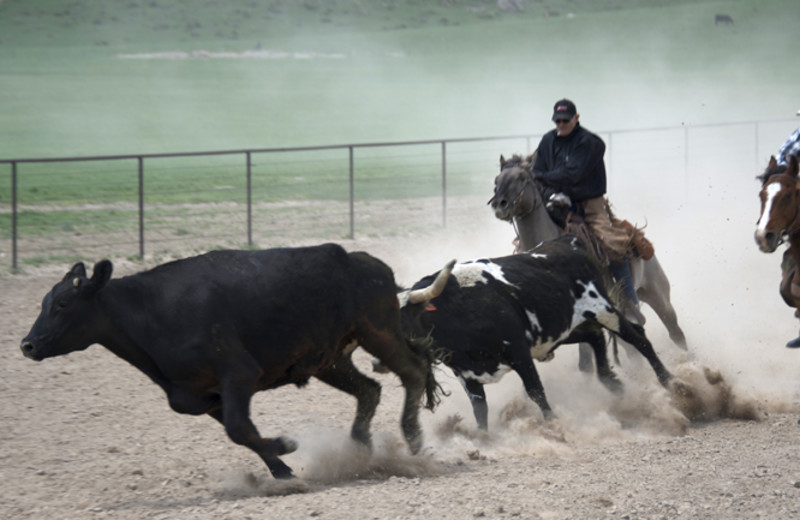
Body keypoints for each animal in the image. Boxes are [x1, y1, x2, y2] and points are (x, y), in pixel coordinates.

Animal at [20, 244, 438, 480]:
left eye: (63, 304)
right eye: (43, 302)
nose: (27, 344)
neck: (151, 314)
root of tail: (368, 263)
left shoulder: (238, 375)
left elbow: (239, 428)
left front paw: (285, 446)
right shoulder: (204, 399)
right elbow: (243, 433)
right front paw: (281, 470)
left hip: (378, 331)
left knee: (413, 371)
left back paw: (413, 437)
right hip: (329, 360)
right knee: (370, 390)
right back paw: (358, 448)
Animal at [390, 236, 672, 430]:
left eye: (402, 320)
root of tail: (569, 242)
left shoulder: (519, 353)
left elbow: (535, 390)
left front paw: (553, 424)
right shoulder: (466, 374)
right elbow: (479, 408)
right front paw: (482, 439)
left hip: (603, 309)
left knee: (637, 337)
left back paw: (669, 382)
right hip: (564, 328)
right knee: (595, 338)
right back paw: (612, 384)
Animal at [488, 152, 688, 372]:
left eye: (522, 177)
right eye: (496, 180)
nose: (500, 204)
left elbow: (585, 361)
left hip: (656, 294)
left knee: (674, 331)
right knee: (631, 347)